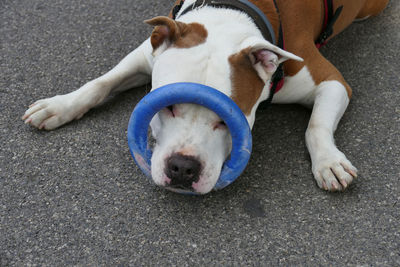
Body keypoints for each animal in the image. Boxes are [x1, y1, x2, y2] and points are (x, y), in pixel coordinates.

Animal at [21, 0, 388, 195]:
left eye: (227, 118)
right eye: (166, 105)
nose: (183, 168)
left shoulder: (330, 79)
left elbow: (316, 126)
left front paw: (329, 162)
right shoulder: (146, 53)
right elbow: (101, 82)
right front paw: (58, 105)